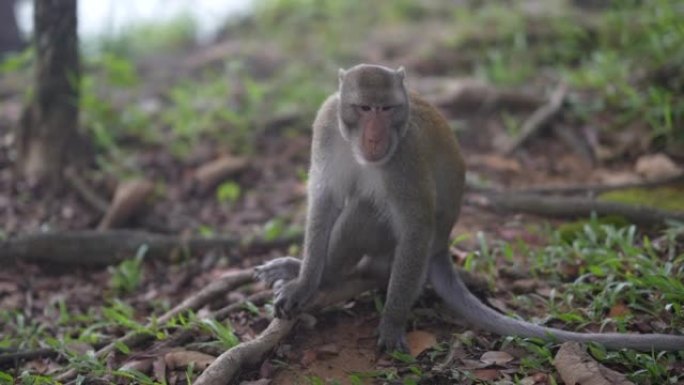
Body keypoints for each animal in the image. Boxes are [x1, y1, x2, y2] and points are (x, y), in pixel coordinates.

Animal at [255, 63, 684, 352]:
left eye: (387, 109)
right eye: (363, 108)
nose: (375, 137)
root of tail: (443, 246)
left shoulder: (405, 157)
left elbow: (414, 224)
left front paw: (392, 322)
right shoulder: (325, 127)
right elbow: (324, 201)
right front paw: (305, 282)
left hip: (404, 245)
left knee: (368, 213)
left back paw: (336, 279)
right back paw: (309, 273)